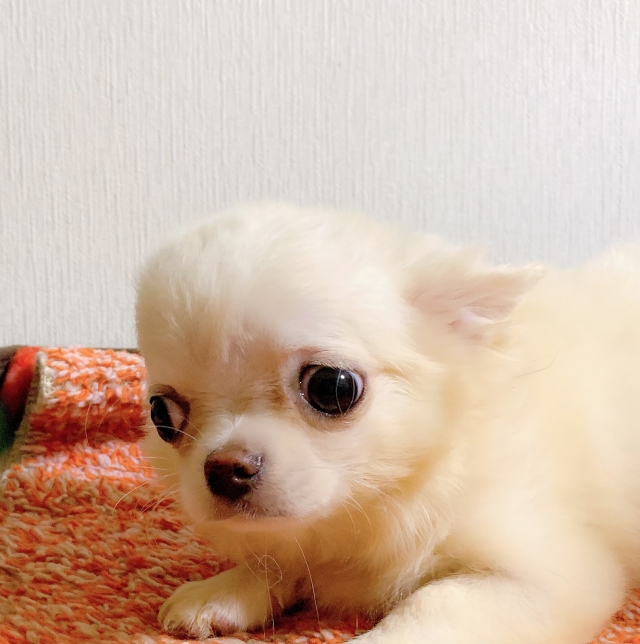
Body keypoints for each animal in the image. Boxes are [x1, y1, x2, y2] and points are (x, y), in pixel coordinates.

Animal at [135, 202, 640, 643]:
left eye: (332, 387)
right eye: (162, 415)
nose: (224, 468)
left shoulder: (547, 576)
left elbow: (430, 606)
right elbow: (277, 560)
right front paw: (222, 590)